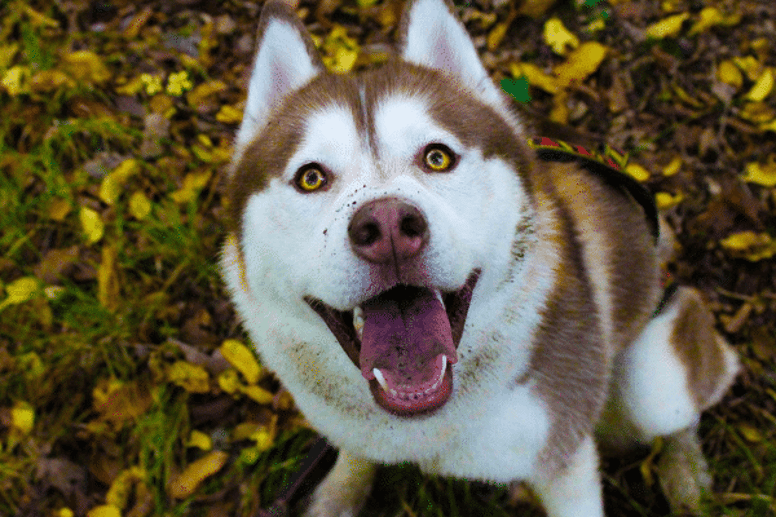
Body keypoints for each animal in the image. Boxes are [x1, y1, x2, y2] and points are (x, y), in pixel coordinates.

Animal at [221, 1, 744, 512]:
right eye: (311, 177)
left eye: (437, 157)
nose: (388, 228)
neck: (427, 423)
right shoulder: (352, 428)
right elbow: (353, 459)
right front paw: (336, 496)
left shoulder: (566, 456)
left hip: (653, 375)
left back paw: (686, 473)